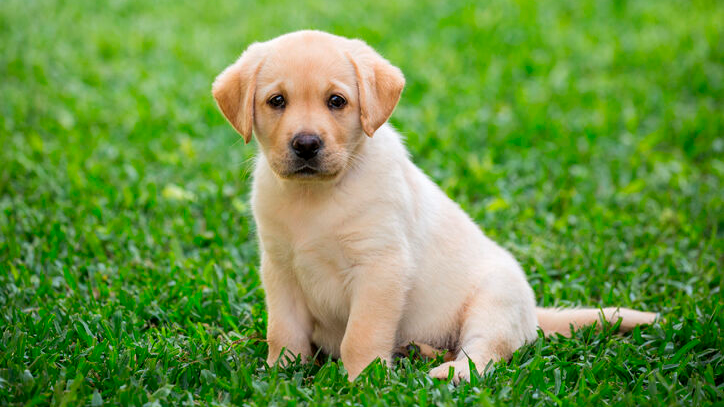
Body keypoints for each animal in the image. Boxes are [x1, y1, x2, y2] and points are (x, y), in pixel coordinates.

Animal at [209, 29, 656, 382]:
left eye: (336, 101)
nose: (305, 144)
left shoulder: (380, 267)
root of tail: (533, 315)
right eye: (277, 101)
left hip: (494, 301)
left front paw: (362, 381)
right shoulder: (280, 268)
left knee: (486, 352)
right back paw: (419, 351)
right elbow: (284, 332)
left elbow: (361, 336)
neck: (316, 196)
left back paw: (449, 372)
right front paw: (278, 374)